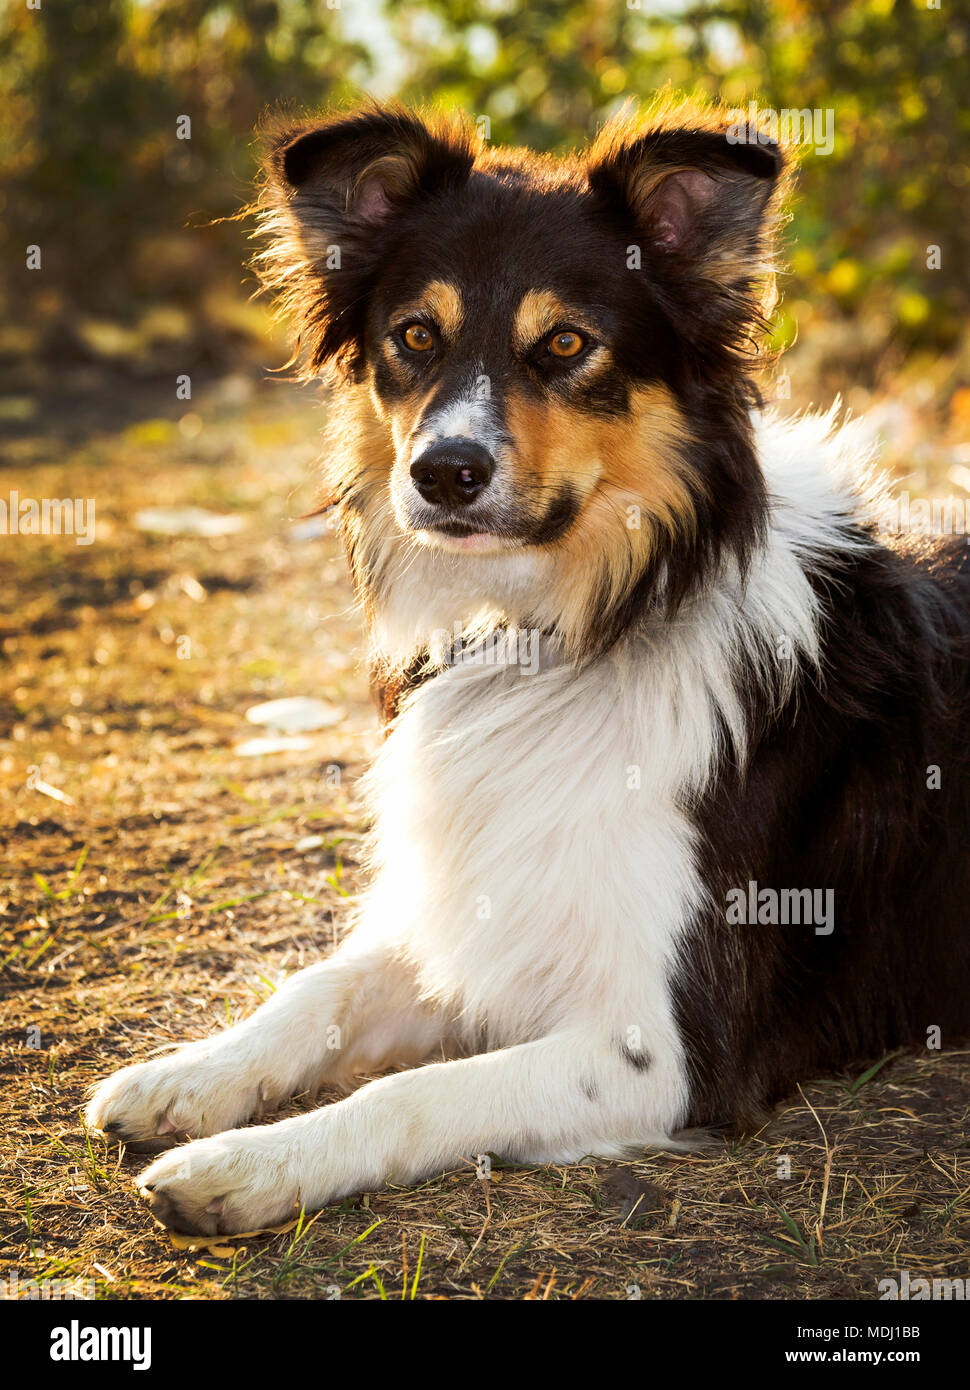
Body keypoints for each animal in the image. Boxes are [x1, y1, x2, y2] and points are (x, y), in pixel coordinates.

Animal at [85, 100, 967, 1239]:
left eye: (566, 344)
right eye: (415, 335)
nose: (444, 472)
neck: (569, 625)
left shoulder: (665, 1047)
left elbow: (414, 1092)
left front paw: (252, 1161)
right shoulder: (486, 898)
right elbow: (317, 989)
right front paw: (189, 1077)